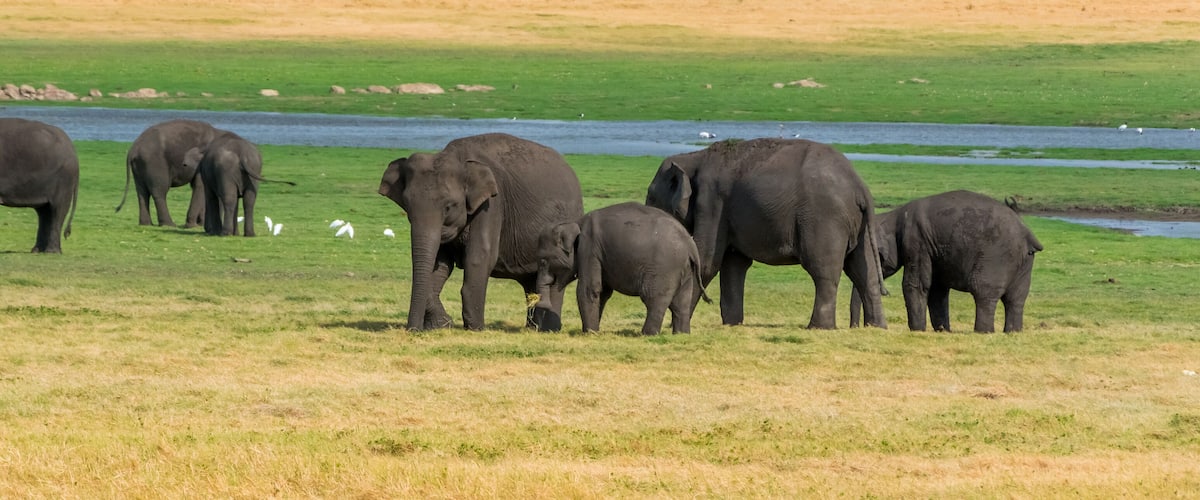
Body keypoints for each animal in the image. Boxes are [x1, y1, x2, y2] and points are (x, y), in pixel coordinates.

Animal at [378, 133, 584, 331]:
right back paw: (533, 328)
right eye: (407, 205)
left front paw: (475, 328)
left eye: (449, 207)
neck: (458, 157)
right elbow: (440, 264)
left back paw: (548, 329)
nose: (412, 330)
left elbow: (480, 256)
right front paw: (440, 324)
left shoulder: (492, 204)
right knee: (531, 281)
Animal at [534, 202, 711, 335]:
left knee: (655, 298)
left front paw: (589, 333)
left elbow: (589, 289)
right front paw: (593, 331)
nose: (542, 305)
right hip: (685, 270)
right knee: (682, 302)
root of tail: (690, 245)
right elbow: (603, 292)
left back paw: (647, 334)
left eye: (543, 261)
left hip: (664, 269)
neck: (576, 222)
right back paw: (681, 334)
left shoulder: (589, 247)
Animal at [645, 138, 888, 330]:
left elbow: (706, 262)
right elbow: (734, 264)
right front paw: (733, 324)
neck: (694, 157)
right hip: (858, 225)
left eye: (651, 196)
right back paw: (876, 327)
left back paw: (818, 328)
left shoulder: (711, 201)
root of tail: (860, 187)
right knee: (863, 272)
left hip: (824, 220)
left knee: (823, 271)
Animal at [849, 190, 1043, 333]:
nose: (858, 327)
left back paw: (983, 332)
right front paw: (942, 330)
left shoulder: (916, 241)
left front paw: (917, 331)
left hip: (997, 256)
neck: (895, 216)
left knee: (983, 291)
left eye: (877, 258)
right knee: (1016, 298)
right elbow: (937, 290)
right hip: (1024, 262)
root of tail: (1027, 234)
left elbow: (916, 285)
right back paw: (1012, 332)